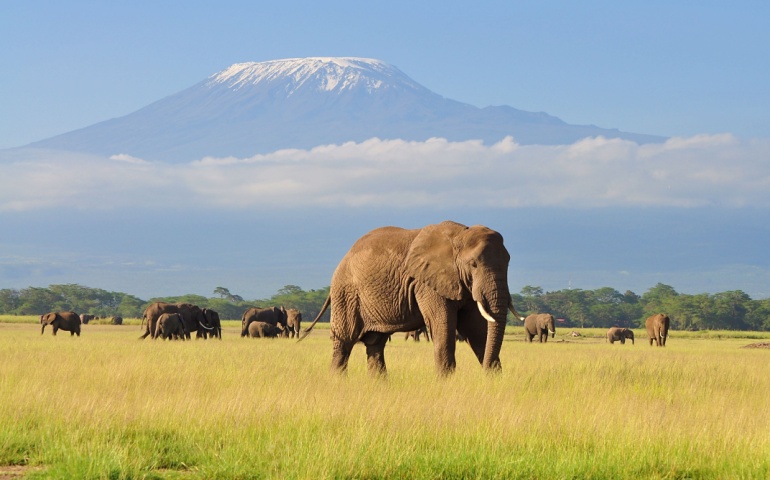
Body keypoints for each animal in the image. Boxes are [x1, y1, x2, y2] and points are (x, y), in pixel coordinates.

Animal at [298, 220, 520, 376]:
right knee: (344, 342)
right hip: (346, 293)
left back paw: (380, 386)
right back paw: (337, 381)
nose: (484, 373)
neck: (460, 234)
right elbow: (443, 326)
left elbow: (477, 330)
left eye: (508, 262)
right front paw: (446, 383)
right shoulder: (427, 283)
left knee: (375, 344)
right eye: (473, 264)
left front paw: (493, 380)